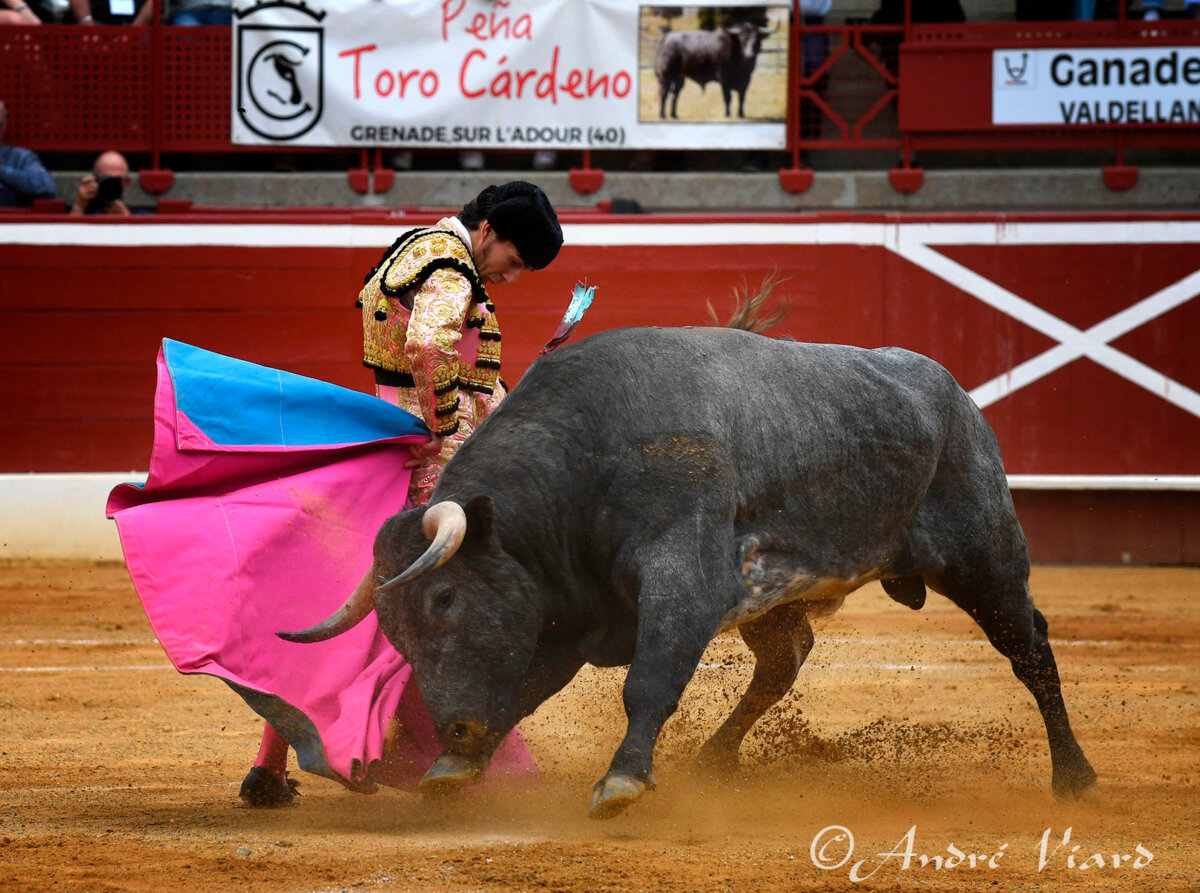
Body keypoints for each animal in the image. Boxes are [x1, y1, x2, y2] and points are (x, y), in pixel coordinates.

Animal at [280, 326, 1098, 819]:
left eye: (445, 598)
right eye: (394, 632)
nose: (452, 721)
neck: (581, 464)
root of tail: (956, 392)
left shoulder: (683, 578)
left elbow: (650, 679)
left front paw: (620, 781)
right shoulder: (566, 612)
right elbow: (524, 686)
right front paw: (454, 765)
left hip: (986, 555)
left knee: (1030, 647)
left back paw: (1074, 777)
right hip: (781, 600)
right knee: (784, 661)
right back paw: (714, 760)